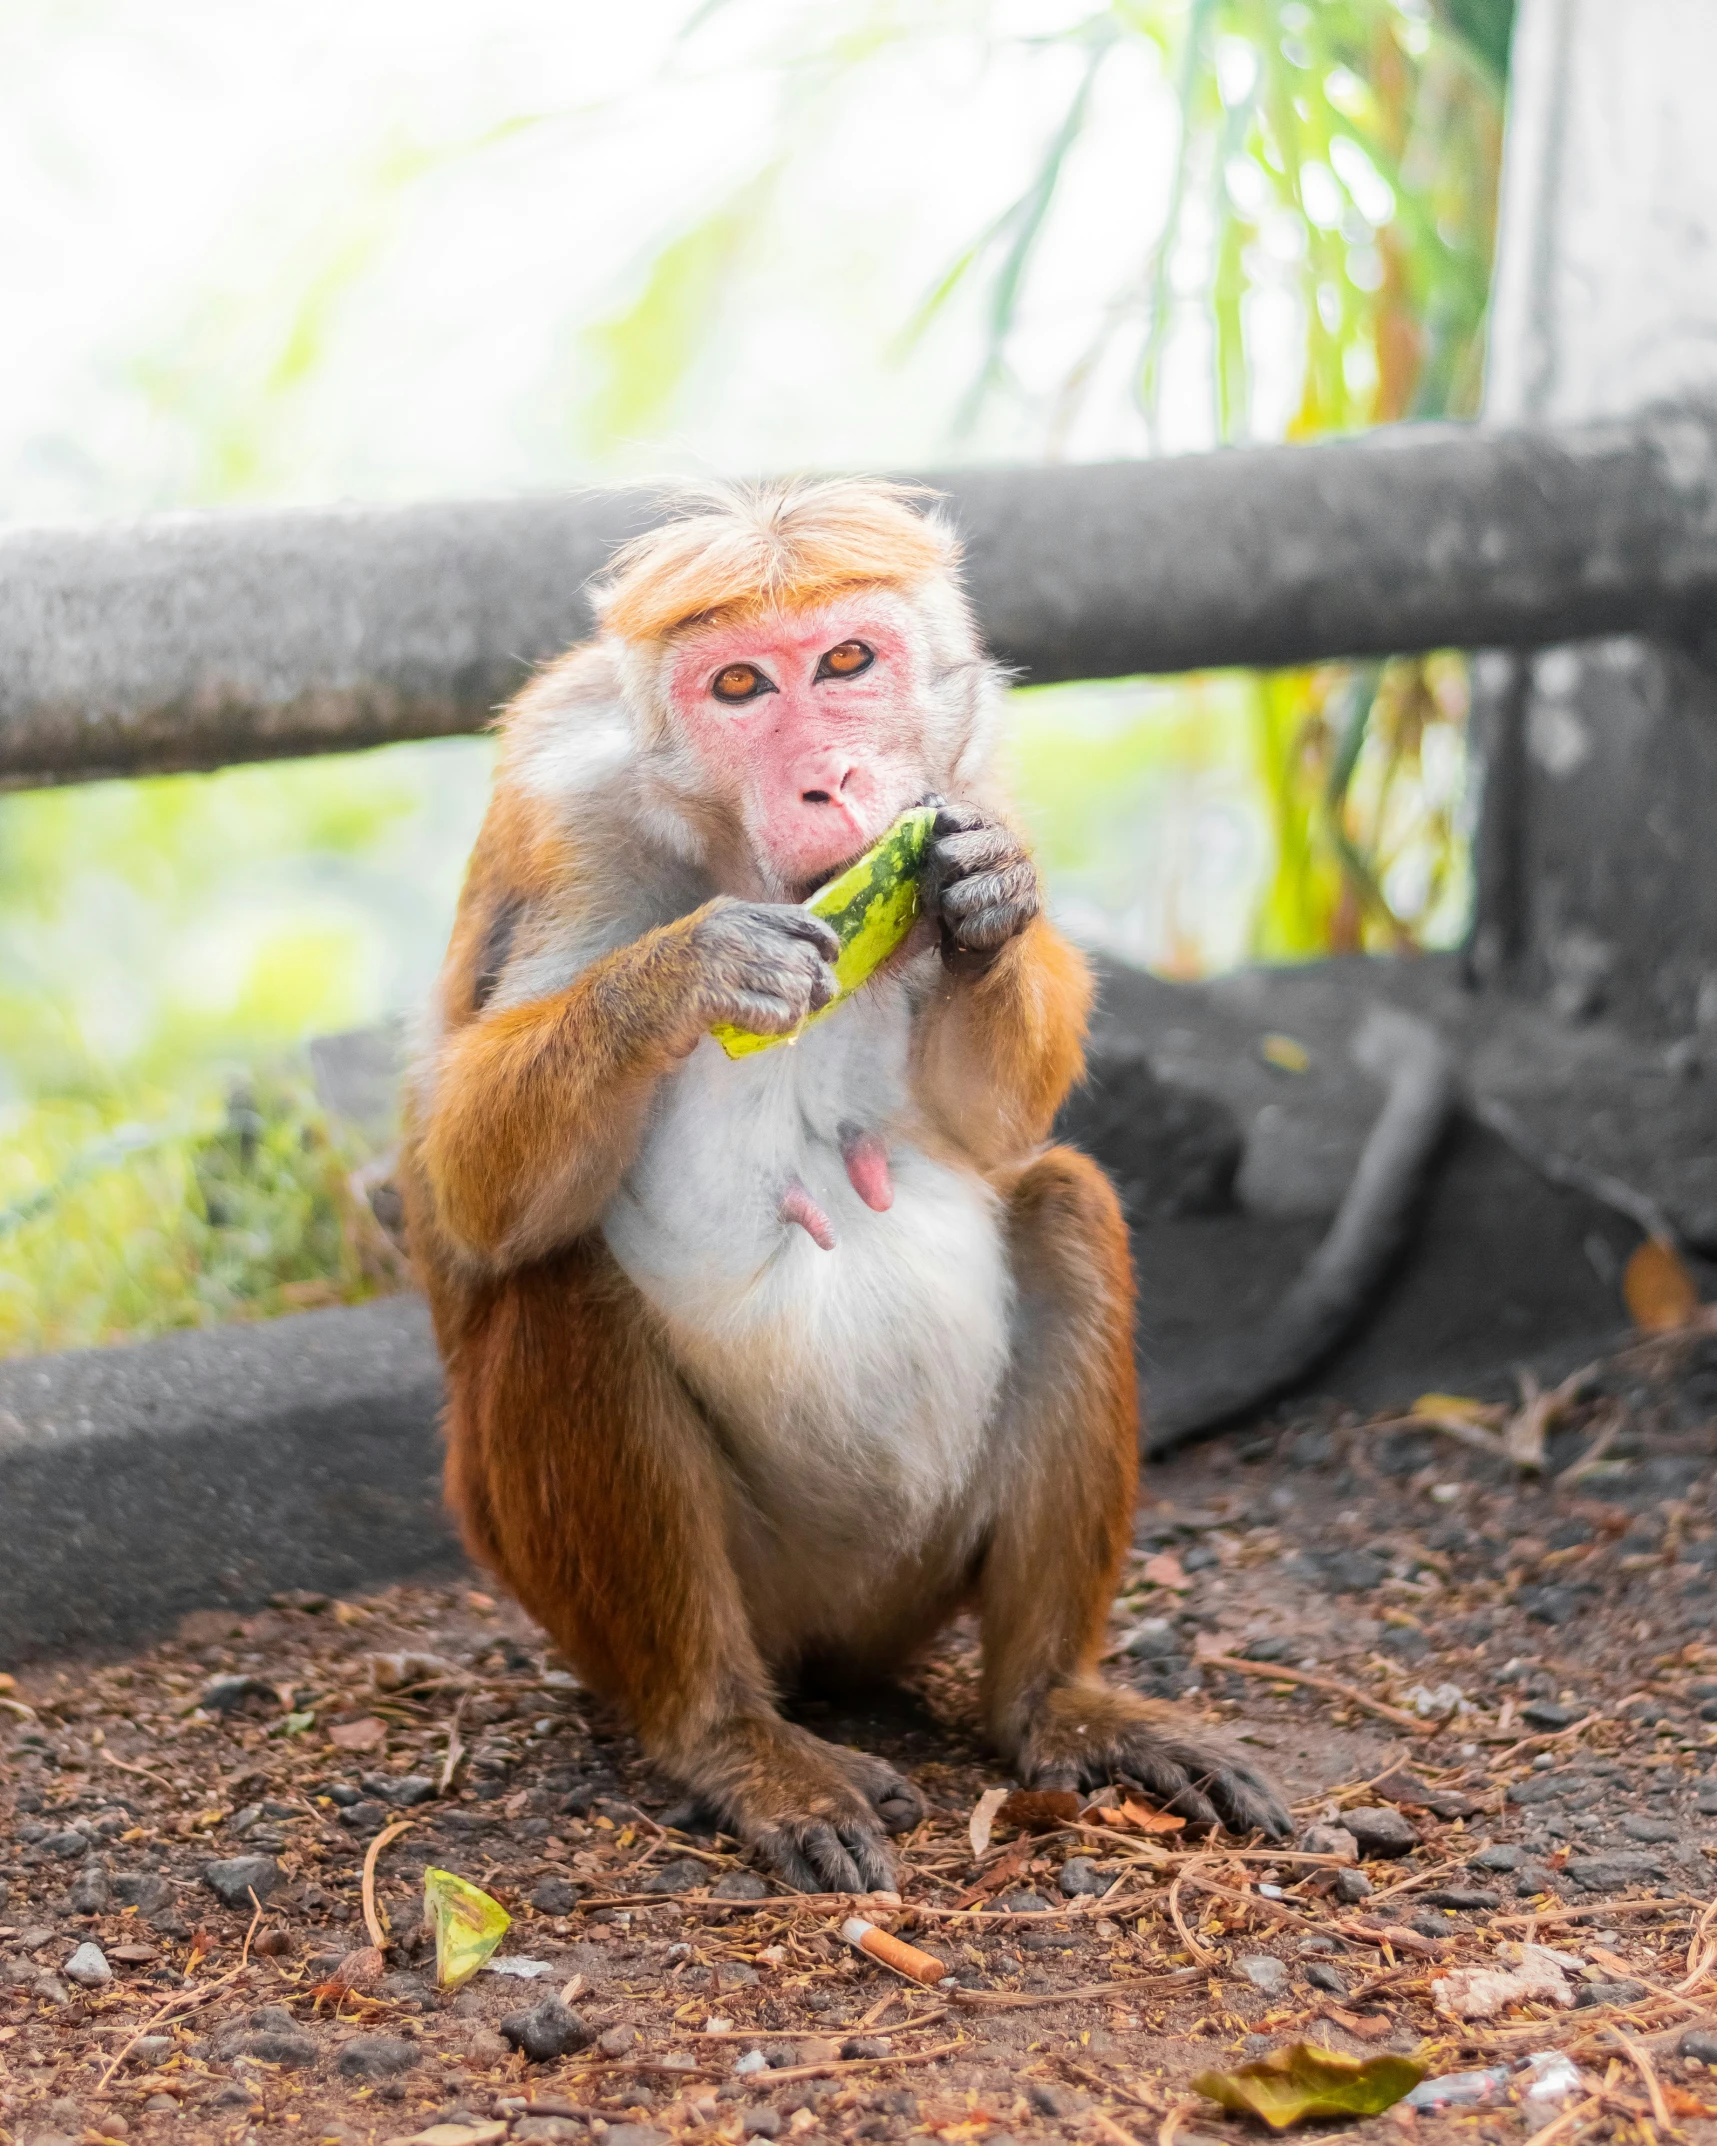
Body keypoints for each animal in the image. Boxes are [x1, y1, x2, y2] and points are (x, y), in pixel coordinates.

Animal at [403, 478, 1287, 1888]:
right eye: (741, 685)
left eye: (848, 662)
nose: (833, 777)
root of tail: (833, 1642)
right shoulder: (564, 815)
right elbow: (471, 1194)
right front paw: (686, 972)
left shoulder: (966, 768)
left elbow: (997, 1120)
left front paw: (989, 904)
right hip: (696, 1592)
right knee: (554, 1281)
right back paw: (727, 1736)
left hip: (916, 1579)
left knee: (1063, 1205)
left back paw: (1054, 1700)